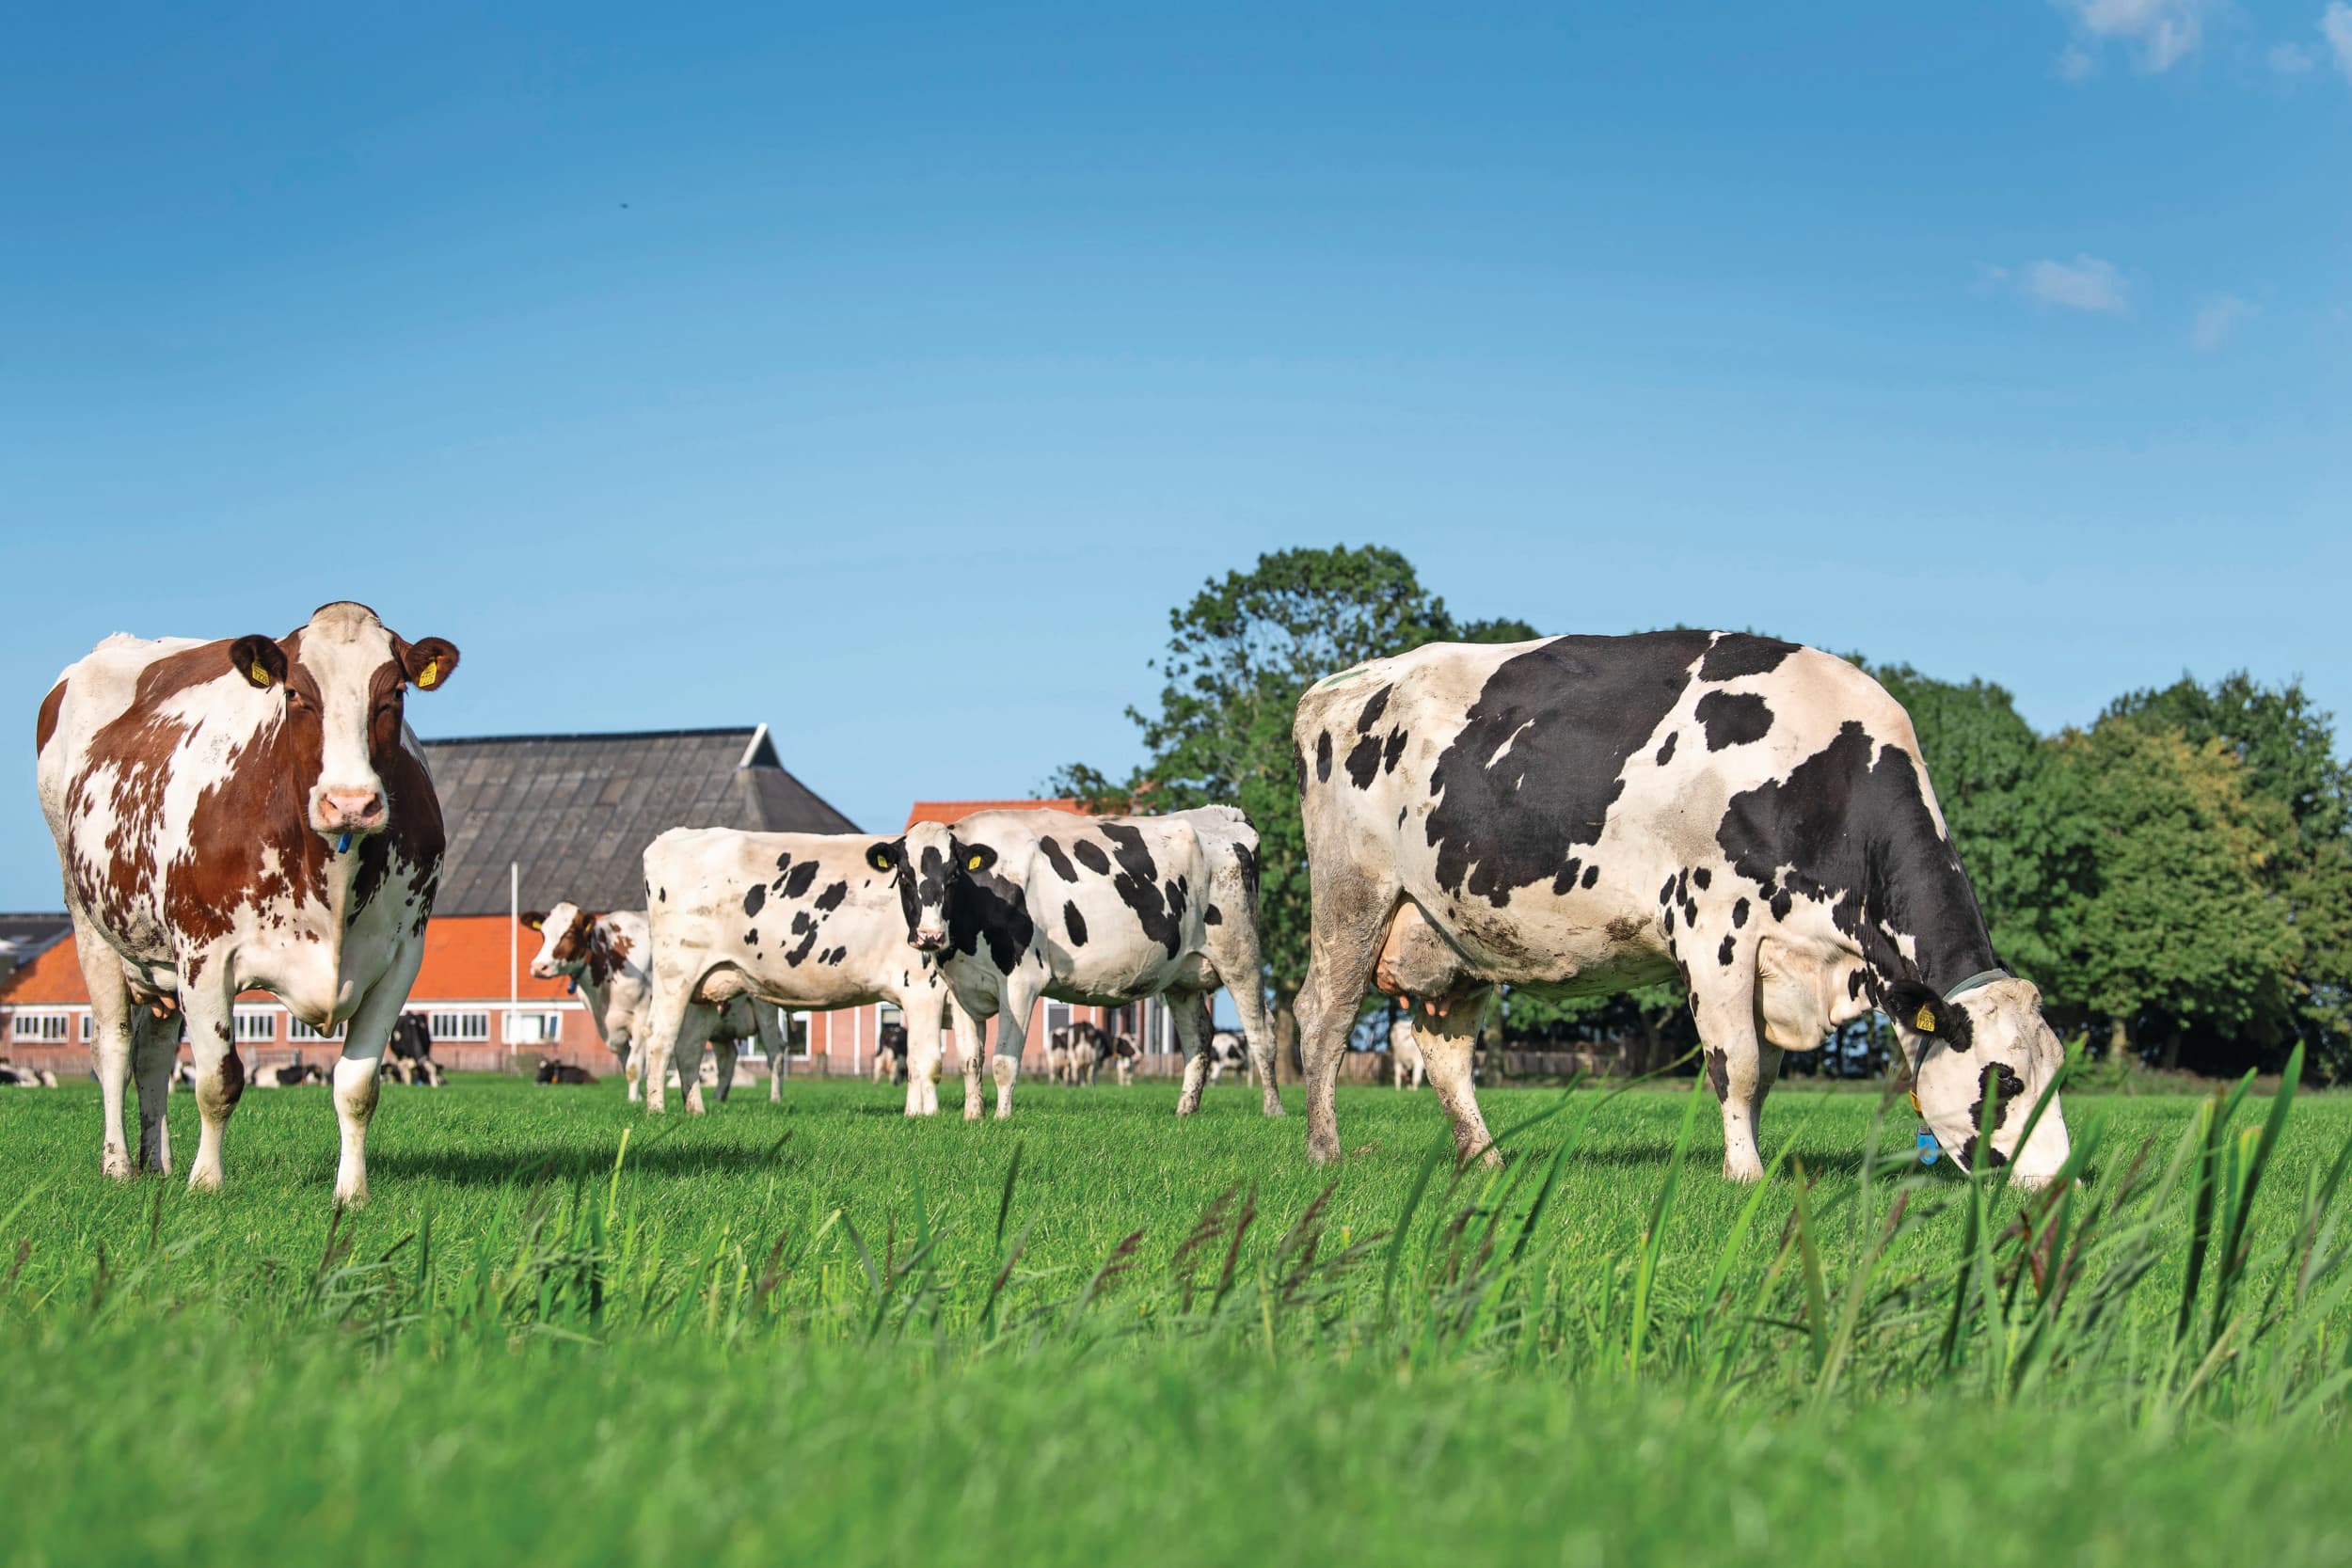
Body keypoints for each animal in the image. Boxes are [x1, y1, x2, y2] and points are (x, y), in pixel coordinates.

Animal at [36, 602, 457, 1203]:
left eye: (394, 692)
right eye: (296, 693)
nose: (350, 803)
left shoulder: (400, 960)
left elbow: (356, 1089)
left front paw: (352, 1194)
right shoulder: (205, 954)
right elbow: (218, 1081)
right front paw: (206, 1184)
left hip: (161, 962)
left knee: (153, 1057)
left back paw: (156, 1162)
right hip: (90, 922)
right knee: (112, 1048)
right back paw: (117, 1165)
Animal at [524, 903, 786, 1105]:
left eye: (569, 934)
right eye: (543, 934)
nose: (538, 967)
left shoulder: (641, 1014)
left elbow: (634, 1065)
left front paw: (634, 1100)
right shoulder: (607, 1024)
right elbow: (626, 1063)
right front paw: (637, 1096)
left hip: (765, 1008)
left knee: (775, 1052)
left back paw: (775, 1098)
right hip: (721, 1021)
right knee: (727, 1058)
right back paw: (718, 1098)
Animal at [636, 829, 958, 1116]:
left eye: (954, 875)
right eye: (903, 875)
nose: (929, 936)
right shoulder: (923, 990)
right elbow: (928, 1062)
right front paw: (926, 1115)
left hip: (703, 988)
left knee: (688, 1046)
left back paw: (695, 1110)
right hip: (675, 976)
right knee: (659, 1038)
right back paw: (656, 1109)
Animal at [867, 806, 1280, 1122]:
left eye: (953, 876)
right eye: (905, 876)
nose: (929, 936)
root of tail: (1222, 814)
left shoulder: (1021, 981)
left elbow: (1003, 1061)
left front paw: (1000, 1120)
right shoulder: (961, 987)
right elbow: (971, 1061)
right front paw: (973, 1118)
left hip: (1240, 955)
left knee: (1262, 1033)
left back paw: (1273, 1109)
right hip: (1183, 978)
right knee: (1198, 1039)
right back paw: (1185, 1110)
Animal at [1291, 632, 2072, 1184]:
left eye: (2057, 1072)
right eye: (2005, 1078)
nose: (2056, 1180)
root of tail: (1343, 683)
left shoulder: (1775, 961)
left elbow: (1765, 1076)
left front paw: (1749, 1155)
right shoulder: (1713, 928)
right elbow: (1740, 1064)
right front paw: (1745, 1175)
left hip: (1452, 930)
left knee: (1445, 1048)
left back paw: (1484, 1160)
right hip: (1352, 894)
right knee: (1323, 1017)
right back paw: (1326, 1152)